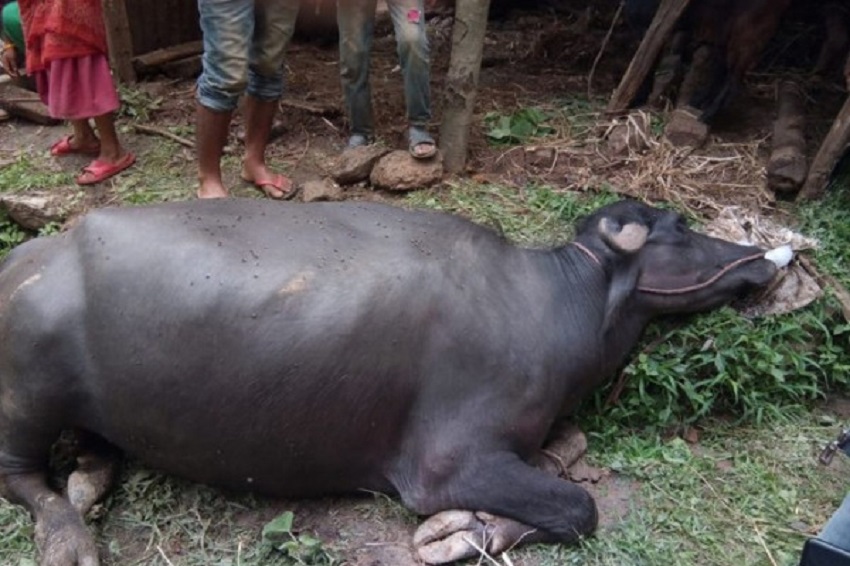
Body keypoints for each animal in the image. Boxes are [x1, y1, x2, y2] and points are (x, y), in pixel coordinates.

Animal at [0, 197, 788, 564]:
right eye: (678, 228)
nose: (763, 261)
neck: (555, 304)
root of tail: (33, 254)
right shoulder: (447, 464)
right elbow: (577, 508)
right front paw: (469, 532)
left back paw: (91, 476)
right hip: (25, 398)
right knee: (21, 479)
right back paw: (68, 533)